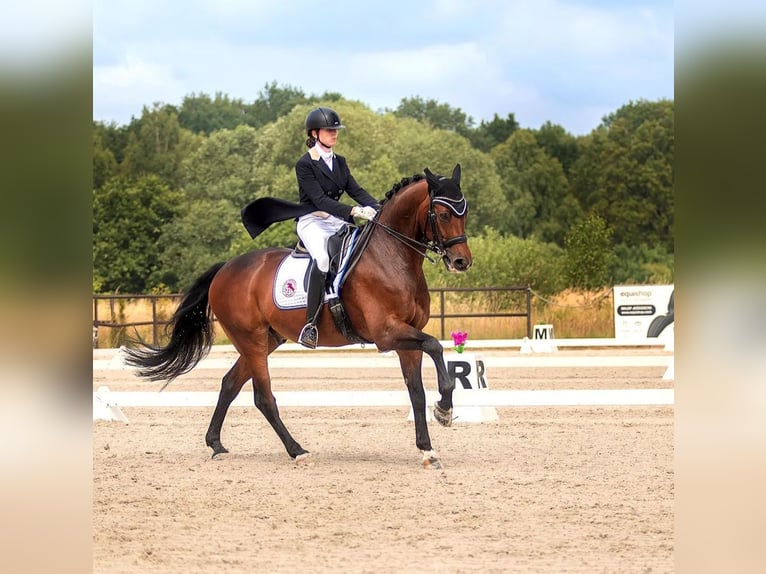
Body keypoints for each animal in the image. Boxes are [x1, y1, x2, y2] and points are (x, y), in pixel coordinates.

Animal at [124, 164, 472, 469]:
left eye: (465, 212)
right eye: (443, 214)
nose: (462, 262)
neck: (393, 257)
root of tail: (225, 269)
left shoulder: (407, 335)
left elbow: (416, 391)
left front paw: (428, 450)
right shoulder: (387, 333)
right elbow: (436, 346)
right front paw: (444, 409)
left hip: (266, 340)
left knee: (229, 384)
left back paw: (217, 445)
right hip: (251, 340)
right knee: (263, 397)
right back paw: (297, 451)